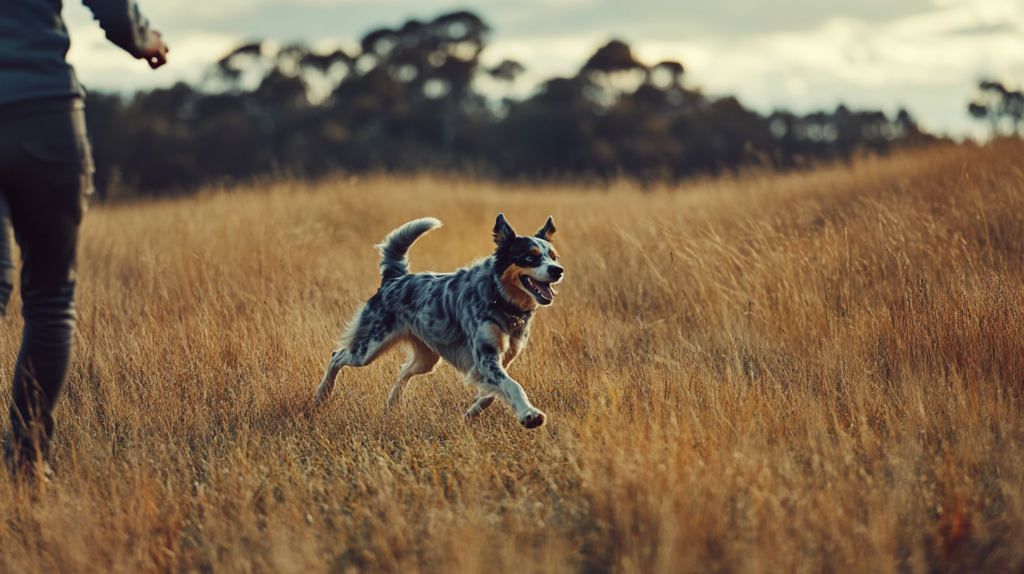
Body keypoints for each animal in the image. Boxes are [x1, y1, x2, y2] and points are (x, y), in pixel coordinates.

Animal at [315, 212, 565, 427]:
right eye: (529, 257)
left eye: (554, 257)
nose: (558, 270)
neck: (500, 297)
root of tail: (395, 278)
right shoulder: (485, 358)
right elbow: (513, 386)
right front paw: (529, 414)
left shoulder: (498, 361)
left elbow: (490, 395)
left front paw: (470, 414)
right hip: (369, 349)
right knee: (337, 356)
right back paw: (321, 397)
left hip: (427, 359)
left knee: (402, 372)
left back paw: (393, 405)